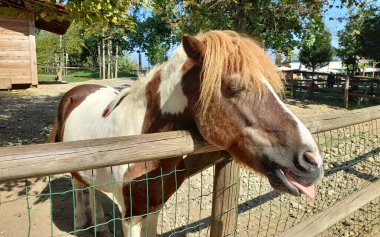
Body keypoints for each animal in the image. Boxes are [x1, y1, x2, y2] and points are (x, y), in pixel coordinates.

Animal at [48, 30, 324, 236]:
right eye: (234, 86)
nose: (312, 162)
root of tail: (77, 91)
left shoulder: (154, 206)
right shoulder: (132, 215)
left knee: (93, 189)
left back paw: (100, 226)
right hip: (75, 168)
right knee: (78, 186)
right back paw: (81, 221)